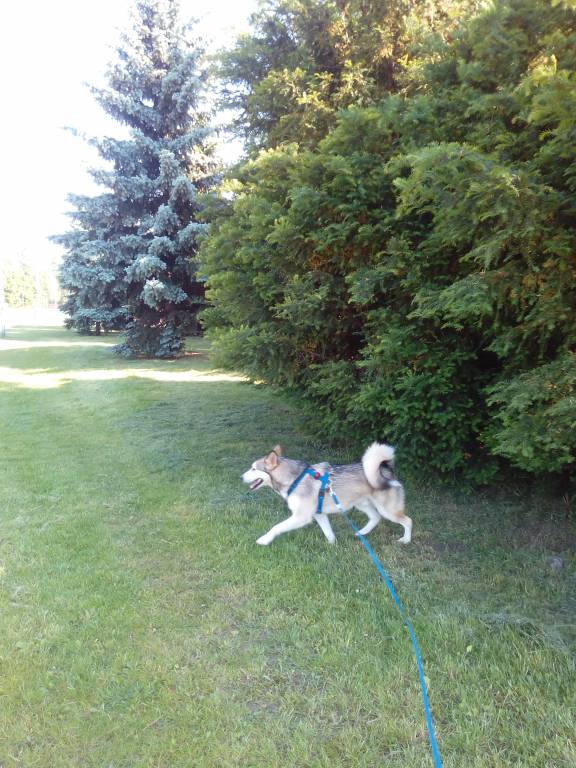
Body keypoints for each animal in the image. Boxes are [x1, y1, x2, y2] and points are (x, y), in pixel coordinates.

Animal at [242, 442, 412, 546]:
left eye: (254, 469)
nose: (240, 477)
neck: (294, 479)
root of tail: (385, 469)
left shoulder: (301, 517)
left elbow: (276, 527)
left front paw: (264, 539)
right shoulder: (319, 514)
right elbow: (328, 532)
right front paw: (332, 545)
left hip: (388, 510)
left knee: (408, 521)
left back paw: (406, 540)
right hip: (361, 504)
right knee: (375, 517)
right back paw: (361, 533)